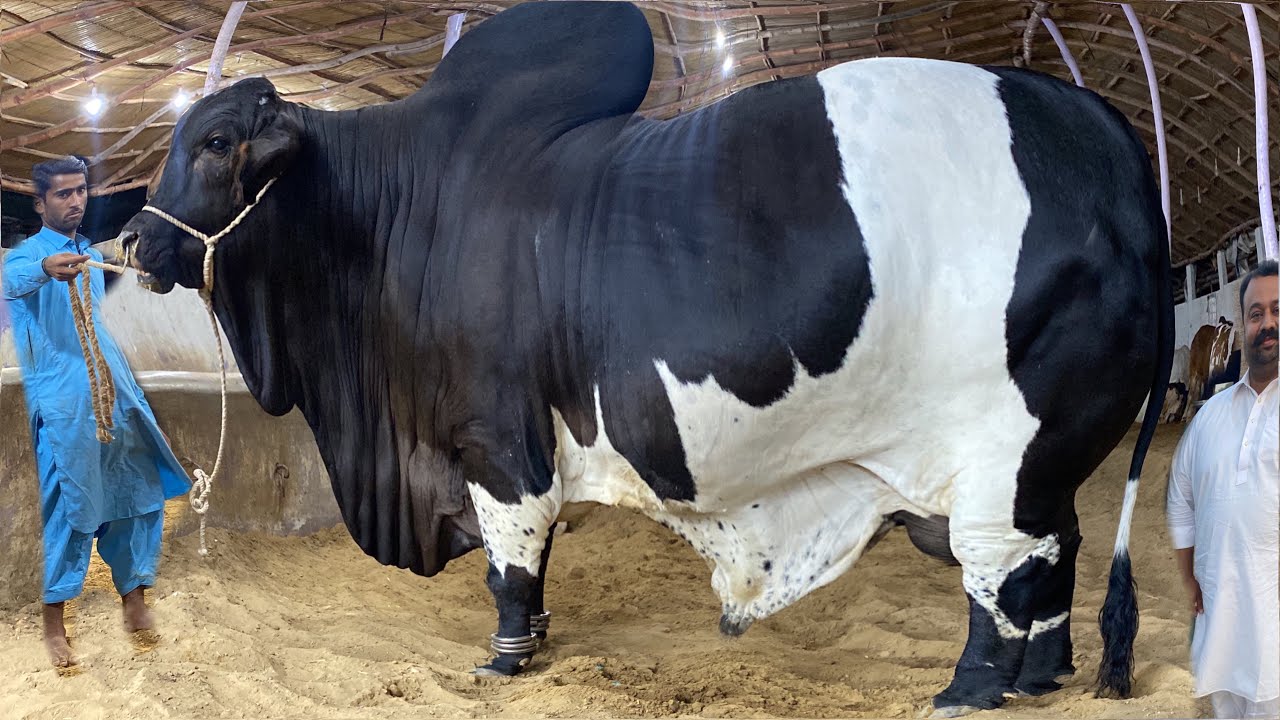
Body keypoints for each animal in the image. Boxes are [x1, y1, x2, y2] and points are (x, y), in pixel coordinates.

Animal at [114, 3, 1172, 716]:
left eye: (214, 142)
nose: (137, 240)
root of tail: (1111, 144)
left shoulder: (496, 441)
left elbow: (510, 564)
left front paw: (507, 656)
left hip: (1002, 459)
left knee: (1002, 576)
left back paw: (972, 688)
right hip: (1043, 463)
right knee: (1059, 555)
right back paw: (1045, 676)